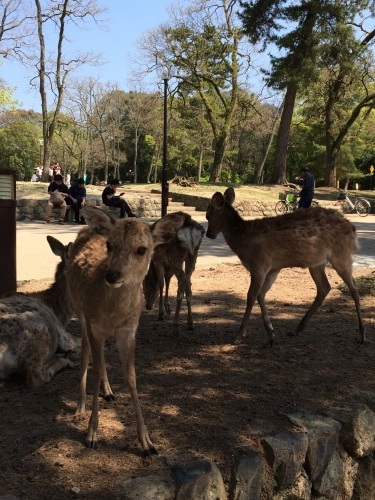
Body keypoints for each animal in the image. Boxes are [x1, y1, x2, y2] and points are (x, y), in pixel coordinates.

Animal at [66, 206, 187, 454]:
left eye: (142, 249)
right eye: (109, 245)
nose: (112, 275)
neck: (114, 313)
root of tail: (87, 228)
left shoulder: (130, 331)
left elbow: (131, 376)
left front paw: (148, 443)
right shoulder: (94, 325)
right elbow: (94, 368)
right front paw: (92, 434)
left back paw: (109, 392)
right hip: (80, 312)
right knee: (85, 354)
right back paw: (80, 406)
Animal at [206, 186, 368, 346]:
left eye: (209, 215)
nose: (208, 234)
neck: (242, 242)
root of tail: (353, 229)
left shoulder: (259, 265)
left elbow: (251, 296)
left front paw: (239, 336)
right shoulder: (273, 268)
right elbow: (261, 294)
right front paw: (271, 334)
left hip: (342, 254)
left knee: (354, 289)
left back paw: (362, 334)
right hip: (317, 263)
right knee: (324, 287)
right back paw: (298, 328)